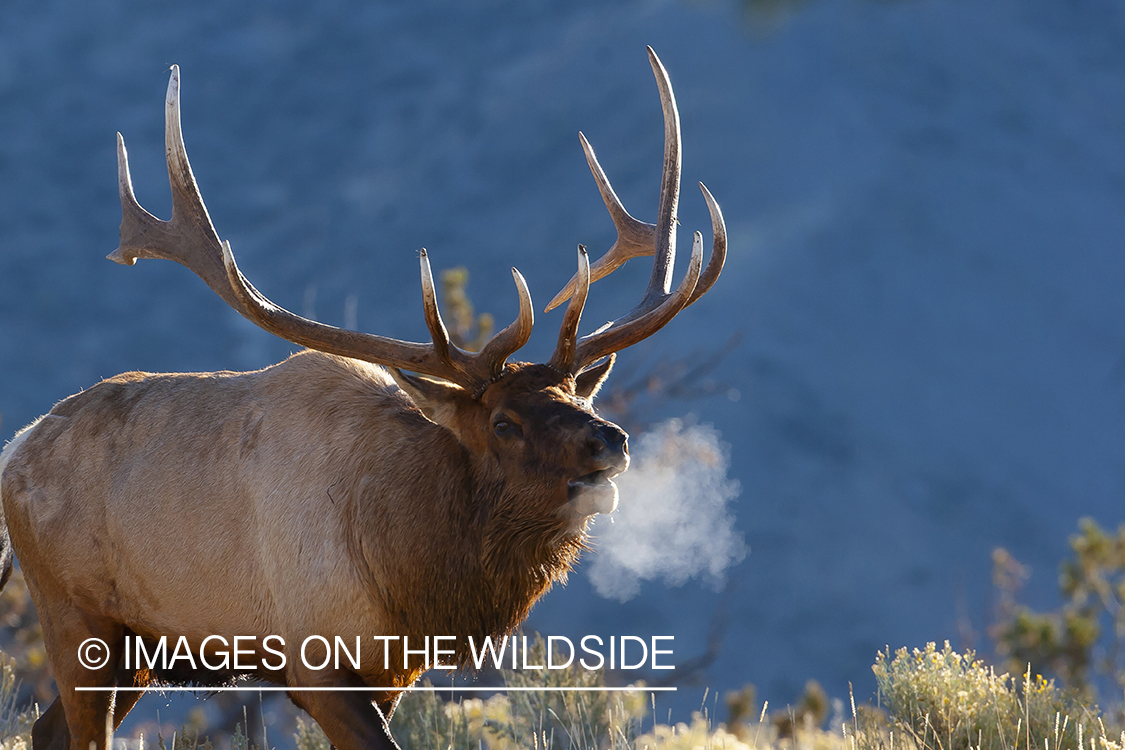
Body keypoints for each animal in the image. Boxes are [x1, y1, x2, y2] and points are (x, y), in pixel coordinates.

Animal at [0, 48, 729, 750]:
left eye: (575, 394)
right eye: (502, 421)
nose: (610, 440)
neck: (409, 567)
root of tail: (17, 445)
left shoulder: (393, 671)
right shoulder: (312, 659)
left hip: (140, 646)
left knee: (46, 729)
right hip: (74, 613)